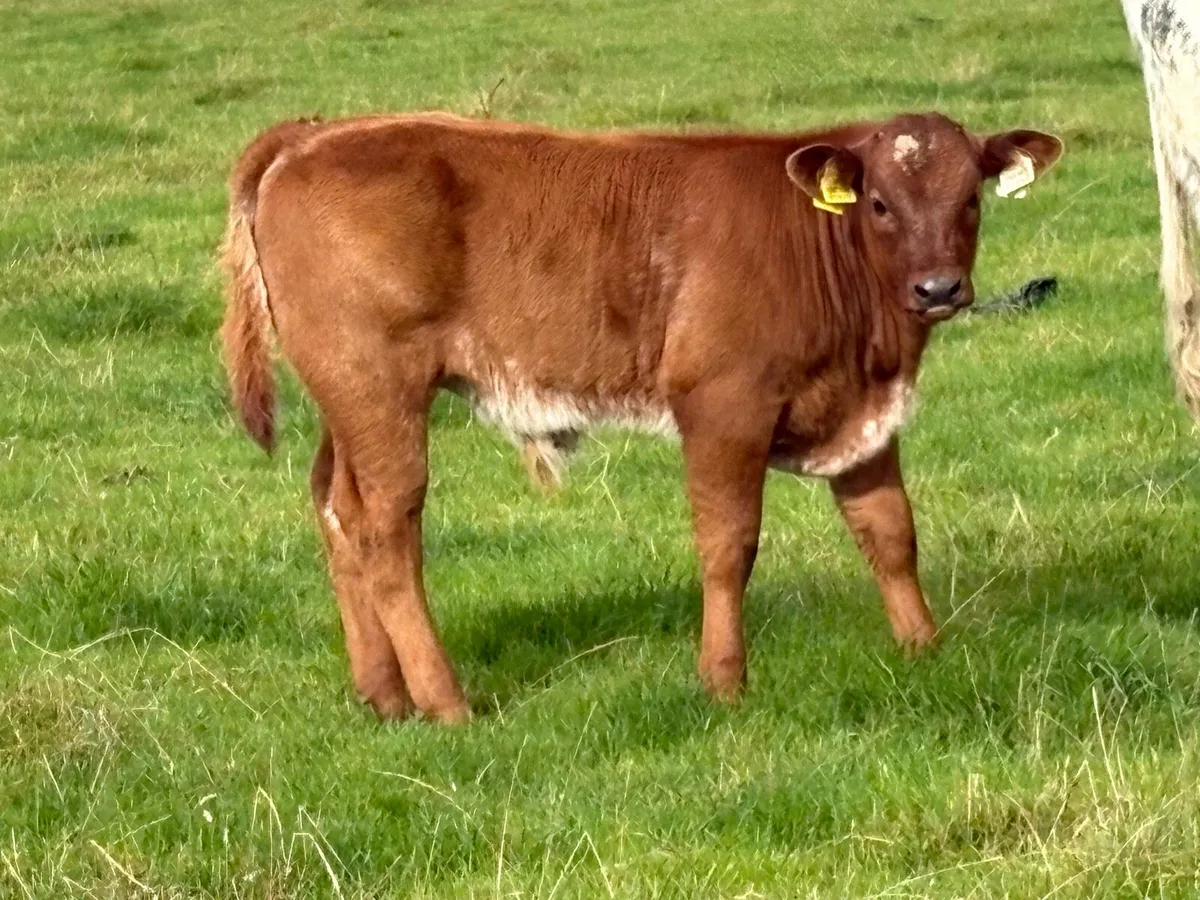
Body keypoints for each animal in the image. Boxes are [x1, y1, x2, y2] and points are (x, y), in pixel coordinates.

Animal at [220, 111, 1062, 723]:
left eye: (971, 198)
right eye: (881, 204)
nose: (938, 288)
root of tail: (316, 133)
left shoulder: (860, 417)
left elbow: (890, 533)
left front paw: (923, 648)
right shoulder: (723, 406)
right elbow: (728, 546)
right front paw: (723, 679)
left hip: (347, 406)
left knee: (336, 507)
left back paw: (384, 694)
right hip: (380, 391)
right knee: (387, 528)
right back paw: (444, 700)